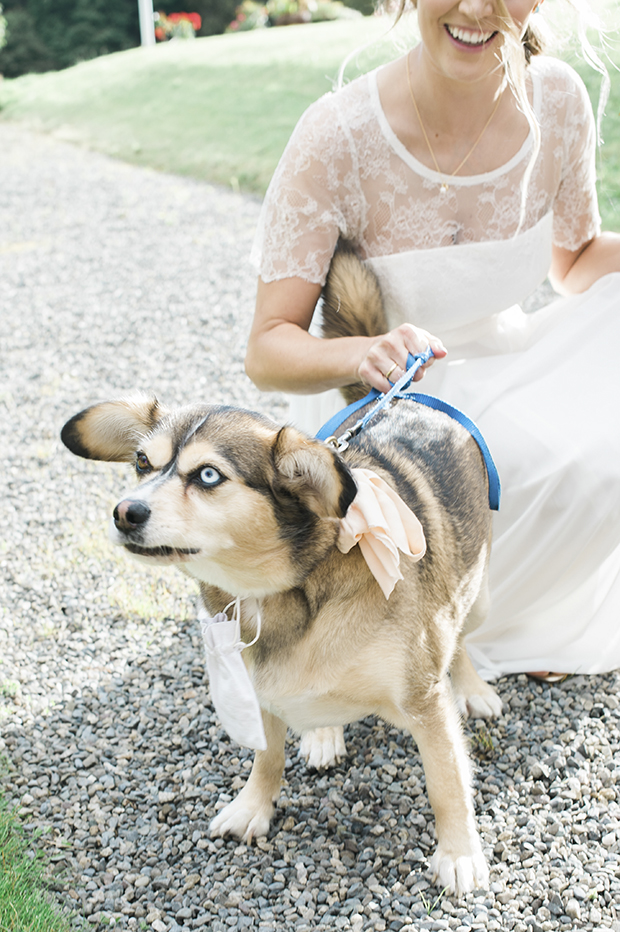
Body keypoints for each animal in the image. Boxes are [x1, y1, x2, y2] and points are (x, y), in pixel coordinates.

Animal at [60, 248, 502, 896]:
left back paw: (472, 687)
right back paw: (322, 733)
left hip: (476, 586)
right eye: (143, 462)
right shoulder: (260, 686)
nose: (124, 511)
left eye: (209, 476)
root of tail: (404, 399)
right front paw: (254, 806)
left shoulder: (423, 701)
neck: (278, 590)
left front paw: (460, 853)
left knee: (464, 634)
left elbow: (446, 781)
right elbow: (266, 756)